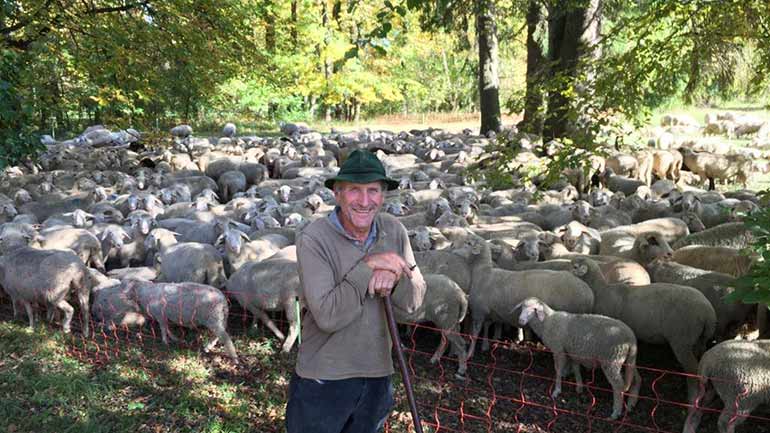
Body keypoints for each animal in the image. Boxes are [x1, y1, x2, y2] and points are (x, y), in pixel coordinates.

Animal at [452, 235, 592, 360]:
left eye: (468, 243)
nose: (452, 247)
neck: (483, 274)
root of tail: (588, 292)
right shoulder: (489, 311)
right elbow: (486, 326)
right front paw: (486, 345)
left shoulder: (478, 311)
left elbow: (475, 334)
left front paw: (469, 354)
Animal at [568, 255, 712, 400]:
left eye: (574, 267)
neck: (600, 290)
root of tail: (708, 312)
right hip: (698, 340)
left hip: (682, 339)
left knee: (692, 370)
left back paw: (692, 399)